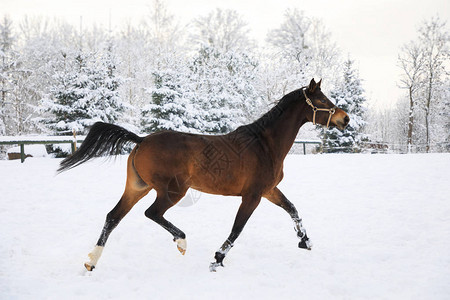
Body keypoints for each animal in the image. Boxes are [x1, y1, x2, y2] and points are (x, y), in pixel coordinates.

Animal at [58, 78, 350, 270]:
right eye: (323, 100)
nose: (345, 119)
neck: (264, 144)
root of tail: (141, 140)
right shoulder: (253, 195)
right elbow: (238, 227)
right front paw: (218, 258)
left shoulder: (269, 191)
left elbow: (292, 209)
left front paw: (306, 241)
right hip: (173, 191)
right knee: (152, 213)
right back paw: (181, 242)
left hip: (137, 188)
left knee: (113, 216)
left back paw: (91, 261)